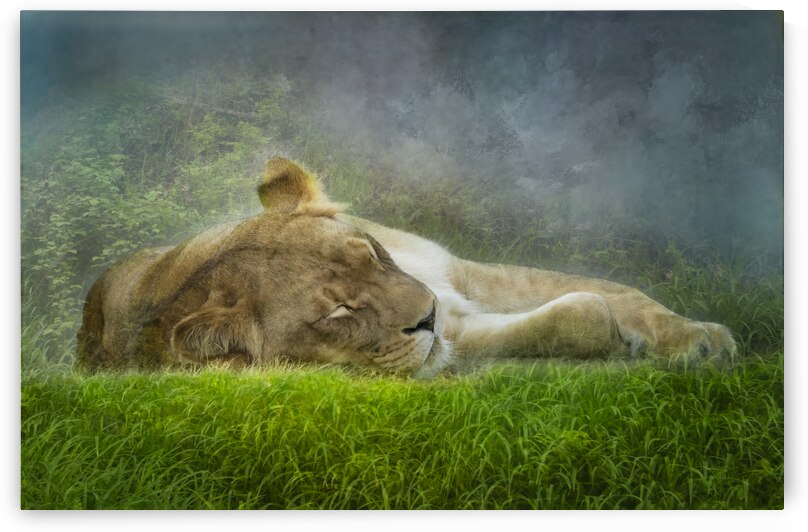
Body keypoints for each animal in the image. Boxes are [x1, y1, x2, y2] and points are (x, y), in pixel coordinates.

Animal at [77, 158, 737, 378]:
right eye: (340, 311)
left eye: (371, 255)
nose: (425, 317)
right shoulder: (452, 334)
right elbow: (579, 313)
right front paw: (622, 341)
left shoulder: (461, 276)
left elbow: (616, 289)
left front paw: (702, 339)